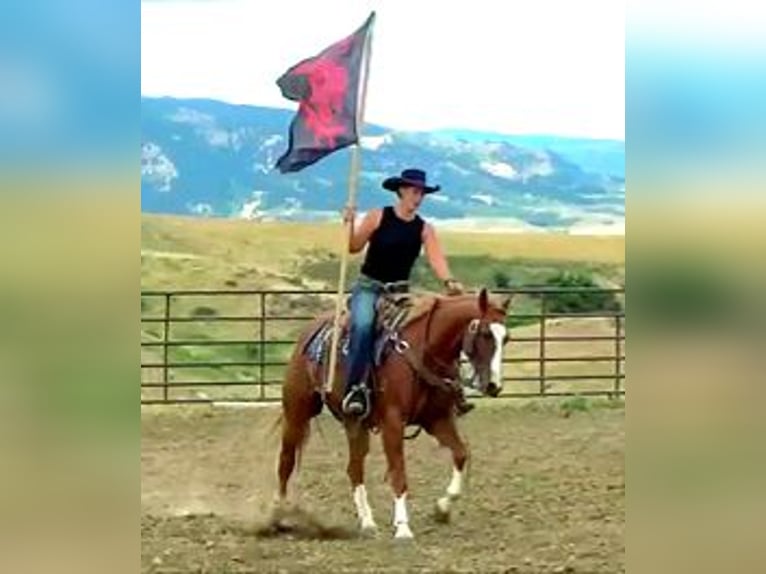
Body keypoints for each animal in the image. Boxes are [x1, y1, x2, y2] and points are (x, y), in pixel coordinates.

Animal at [276, 292, 510, 540]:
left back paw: (367, 522)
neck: (423, 350)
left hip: (354, 422)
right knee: (286, 461)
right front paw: (403, 527)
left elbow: (461, 453)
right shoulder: (393, 422)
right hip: (297, 411)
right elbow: (398, 472)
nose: (494, 386)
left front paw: (442, 508)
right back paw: (279, 515)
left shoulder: (437, 420)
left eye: (506, 338)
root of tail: (311, 331)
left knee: (354, 468)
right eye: (485, 334)